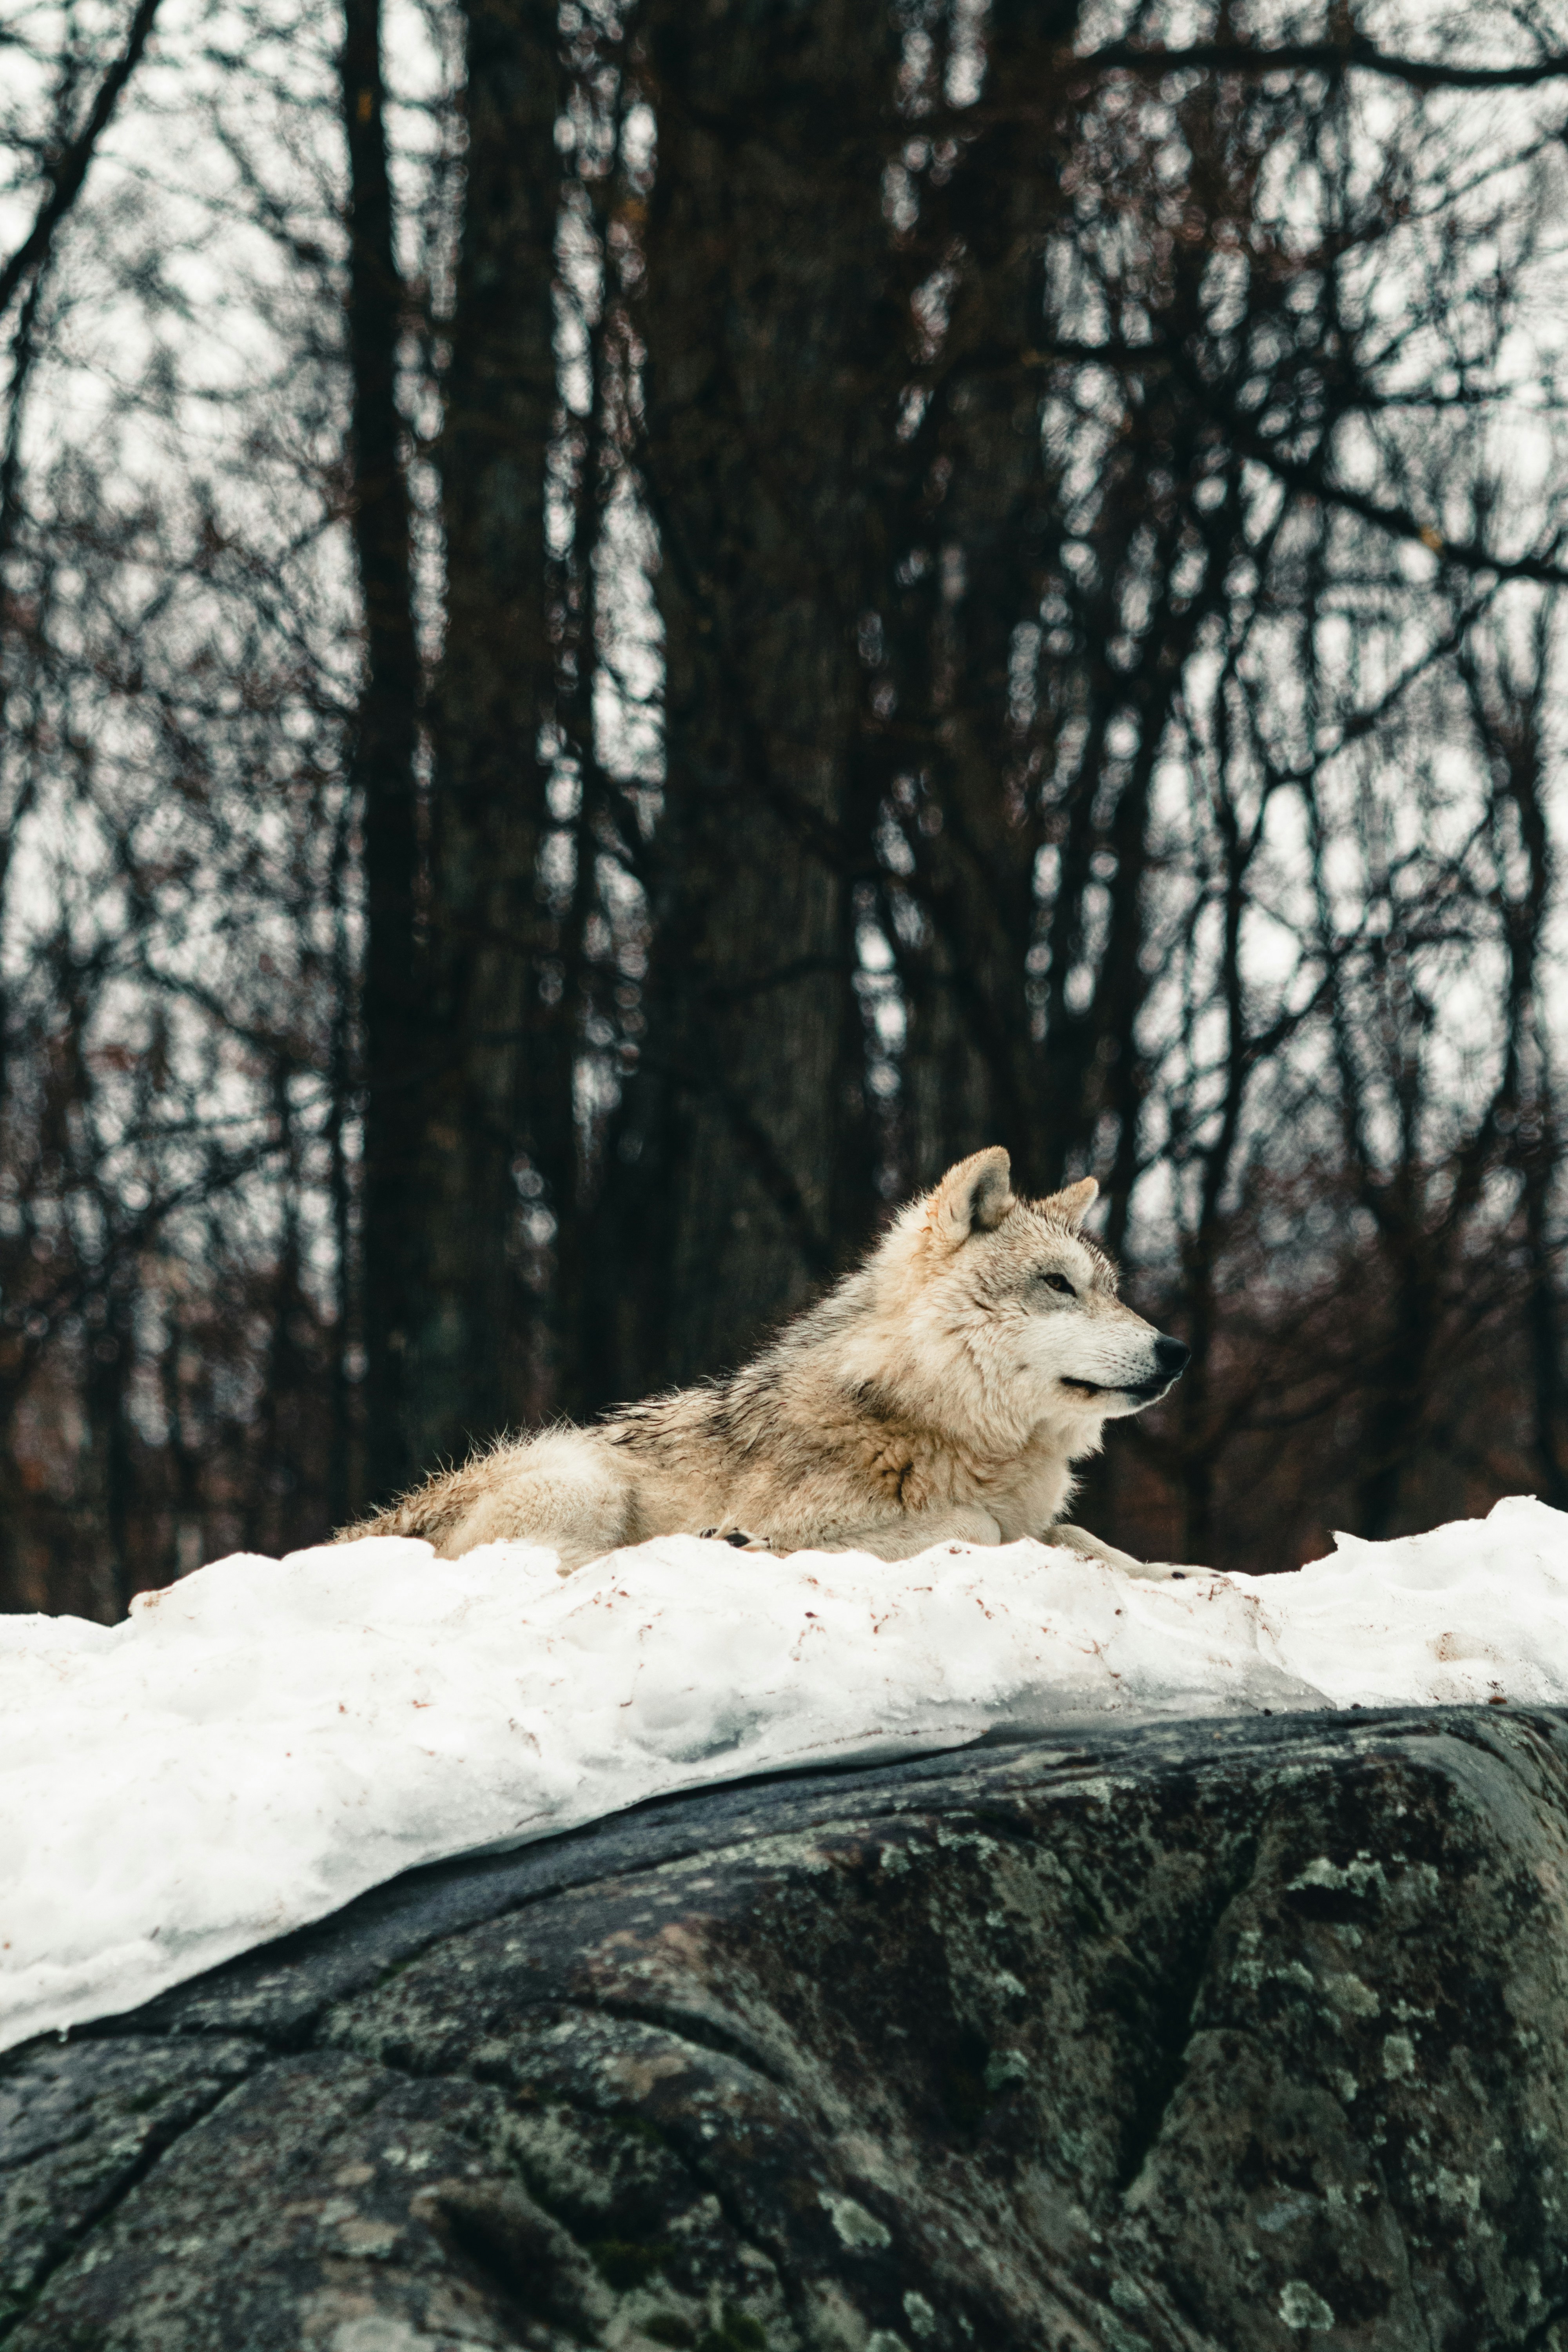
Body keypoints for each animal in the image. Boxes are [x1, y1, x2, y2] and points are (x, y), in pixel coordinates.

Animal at [337, 1147, 1194, 1580]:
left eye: (1112, 1290)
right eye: (1057, 1285)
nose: (1178, 1352)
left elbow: (1084, 1538)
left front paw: (1172, 1575)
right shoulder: (840, 1518)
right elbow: (975, 1526)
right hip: (579, 1477)